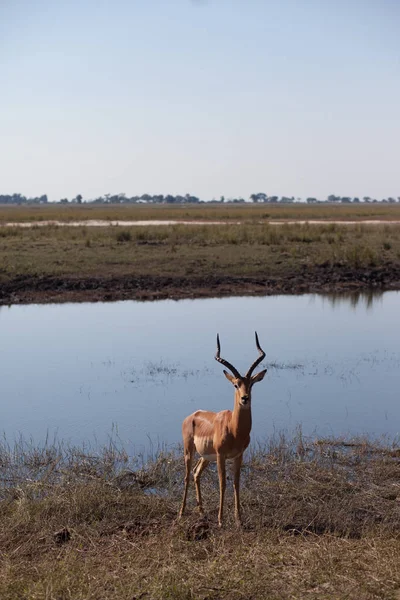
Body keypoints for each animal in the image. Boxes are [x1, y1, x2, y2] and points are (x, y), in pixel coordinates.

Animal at [180, 332, 268, 524]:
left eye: (251, 384)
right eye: (236, 384)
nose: (244, 398)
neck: (235, 429)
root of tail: (191, 416)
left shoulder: (238, 455)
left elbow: (236, 483)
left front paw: (239, 520)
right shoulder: (221, 456)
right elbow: (223, 483)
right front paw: (221, 520)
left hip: (205, 456)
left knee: (196, 473)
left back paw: (202, 512)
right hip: (189, 450)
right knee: (187, 476)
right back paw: (181, 512)